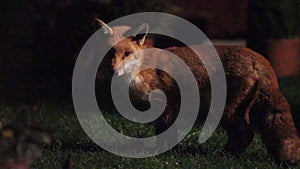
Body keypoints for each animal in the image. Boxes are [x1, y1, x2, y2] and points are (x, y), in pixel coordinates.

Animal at [95, 18, 300, 164]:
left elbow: (164, 133)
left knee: (245, 134)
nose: (114, 71)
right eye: (110, 55)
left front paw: (159, 154)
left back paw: (224, 156)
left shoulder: (168, 103)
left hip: (225, 110)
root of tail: (257, 56)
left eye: (127, 54)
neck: (141, 70)